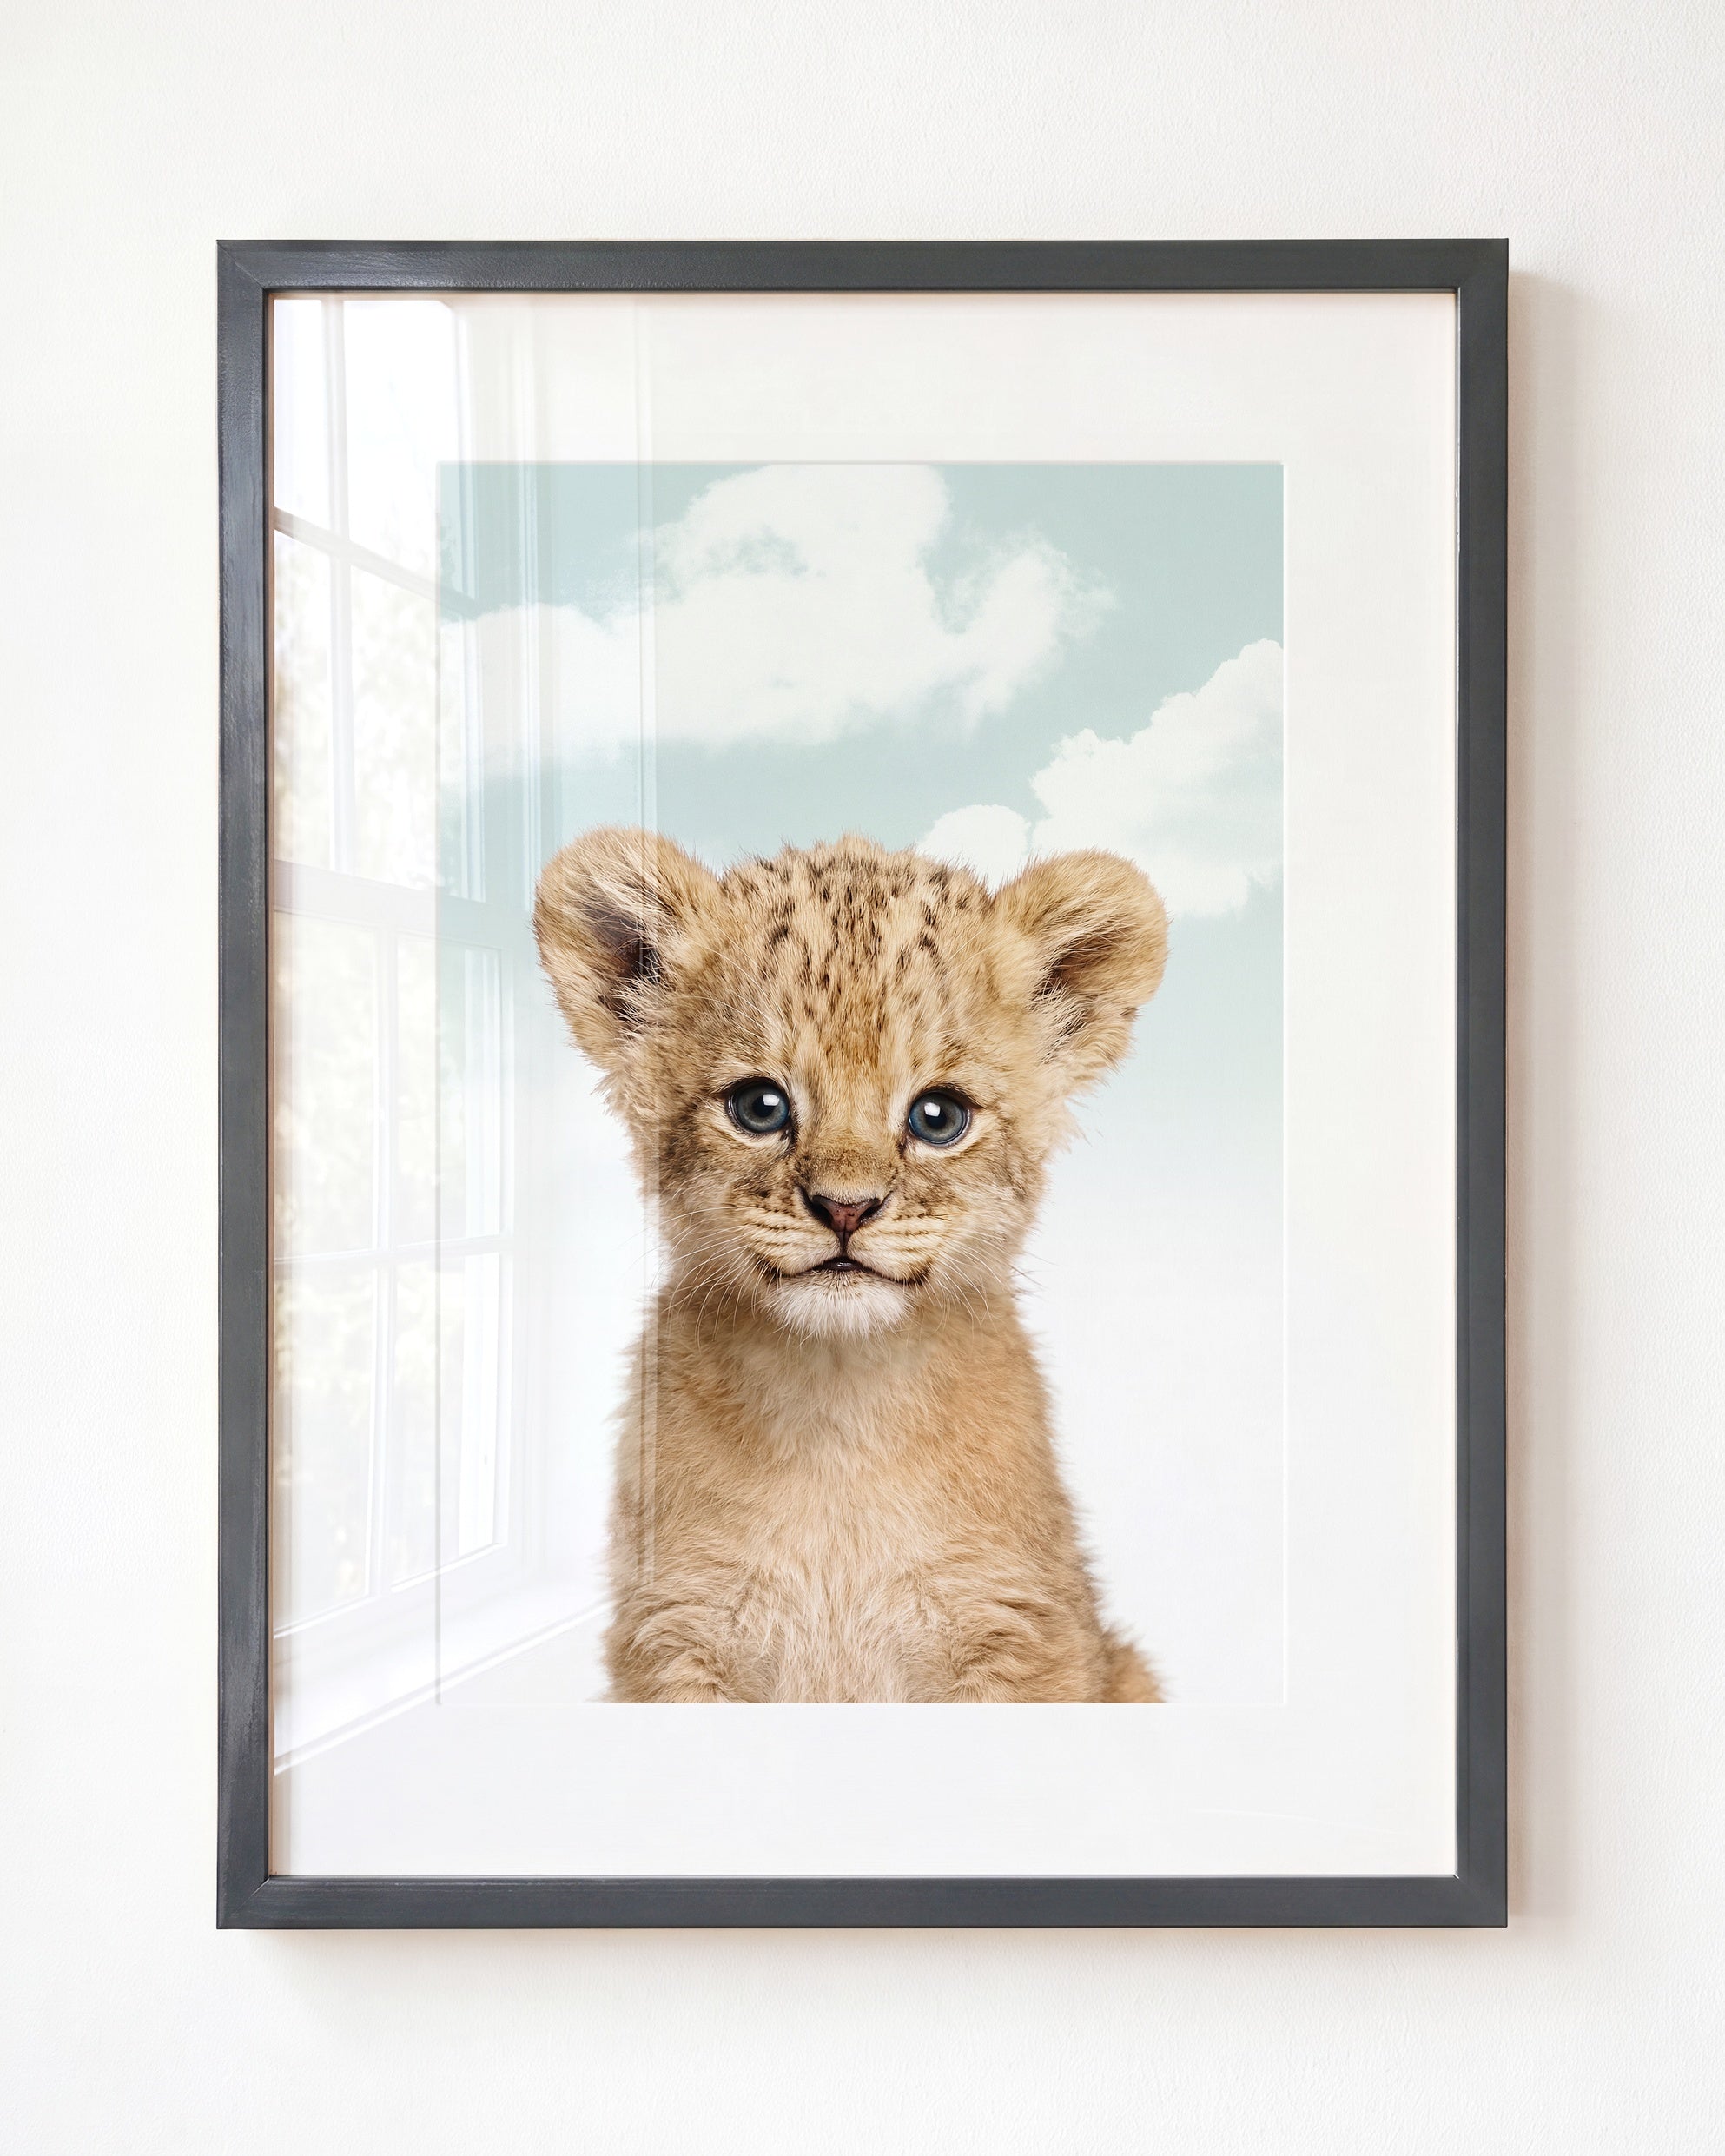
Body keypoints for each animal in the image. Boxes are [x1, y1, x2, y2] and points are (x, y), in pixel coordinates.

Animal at [533, 828, 1168, 1702]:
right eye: (759, 1107)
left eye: (939, 1117)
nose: (845, 1208)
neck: (838, 1410)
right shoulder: (677, 1632)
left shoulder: (1018, 1630)